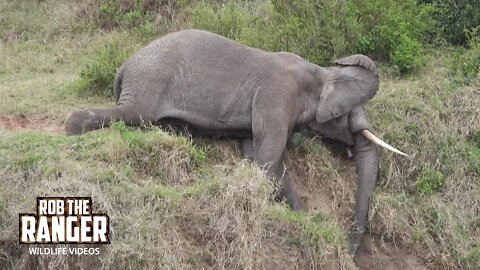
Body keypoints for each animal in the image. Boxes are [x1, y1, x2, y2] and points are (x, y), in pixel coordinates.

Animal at [64, 29, 408, 255]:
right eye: (348, 113)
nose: (347, 250)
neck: (319, 72)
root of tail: (125, 64)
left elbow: (256, 154)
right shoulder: (277, 93)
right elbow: (268, 158)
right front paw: (306, 220)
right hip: (148, 83)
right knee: (131, 114)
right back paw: (71, 127)